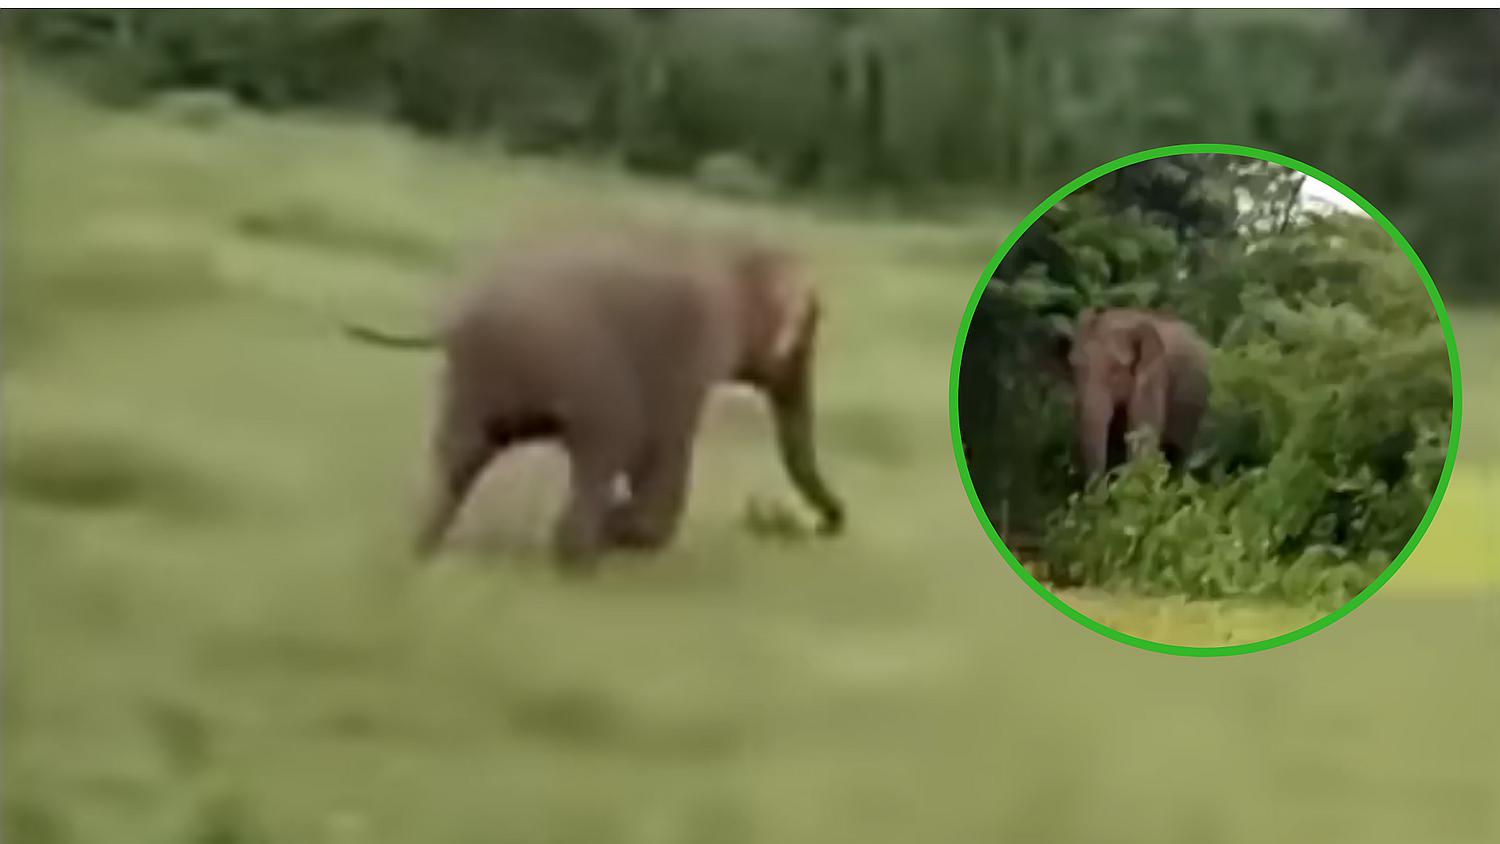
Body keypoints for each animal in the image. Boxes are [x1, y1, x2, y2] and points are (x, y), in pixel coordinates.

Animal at [344, 228, 846, 566]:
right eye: (811, 326)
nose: (823, 524)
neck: (733, 249)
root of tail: (455, 319)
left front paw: (620, 526)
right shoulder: (697, 346)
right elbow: (663, 446)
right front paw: (623, 528)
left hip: (475, 377)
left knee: (462, 450)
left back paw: (424, 546)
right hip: (569, 363)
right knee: (606, 439)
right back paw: (576, 556)